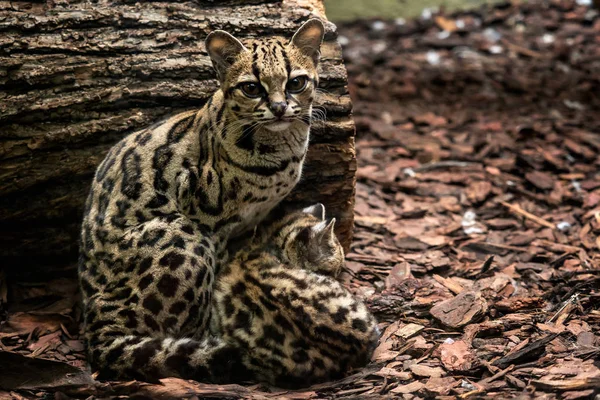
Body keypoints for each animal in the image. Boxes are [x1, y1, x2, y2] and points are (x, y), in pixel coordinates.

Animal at [79, 20, 326, 382]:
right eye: (251, 88)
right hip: (183, 233)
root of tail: (94, 319)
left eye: (296, 82)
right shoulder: (208, 217)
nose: (280, 107)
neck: (282, 149)